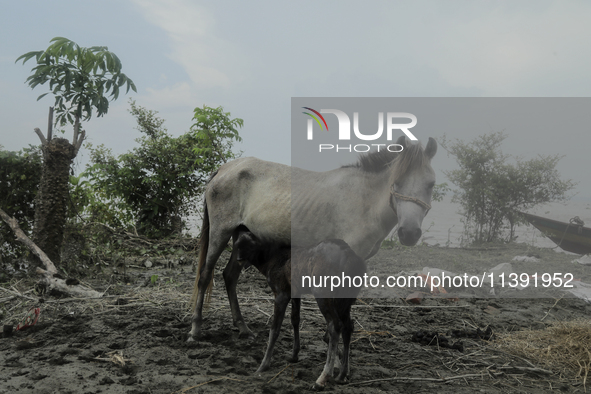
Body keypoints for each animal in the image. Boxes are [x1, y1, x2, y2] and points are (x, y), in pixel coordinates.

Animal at [191, 135, 440, 338]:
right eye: (396, 183)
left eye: (431, 184)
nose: (409, 233)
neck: (364, 201)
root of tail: (224, 169)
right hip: (220, 233)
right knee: (205, 276)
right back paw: (196, 330)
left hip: (241, 239)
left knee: (230, 276)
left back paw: (243, 328)